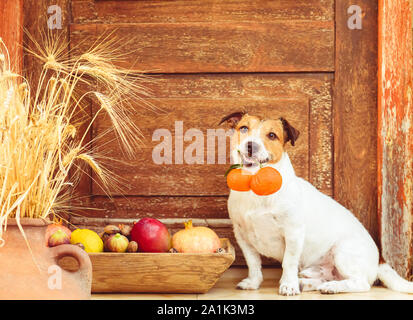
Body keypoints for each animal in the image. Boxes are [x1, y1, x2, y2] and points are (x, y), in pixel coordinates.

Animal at [220, 111, 412, 296]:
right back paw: (309, 283)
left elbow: (288, 262)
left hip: (342, 252)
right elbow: (253, 263)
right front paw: (253, 283)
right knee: (326, 277)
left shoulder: (293, 232)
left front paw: (288, 286)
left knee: (361, 283)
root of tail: (380, 260)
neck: (255, 186)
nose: (251, 145)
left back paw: (332, 287)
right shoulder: (242, 236)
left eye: (272, 135)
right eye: (244, 128)